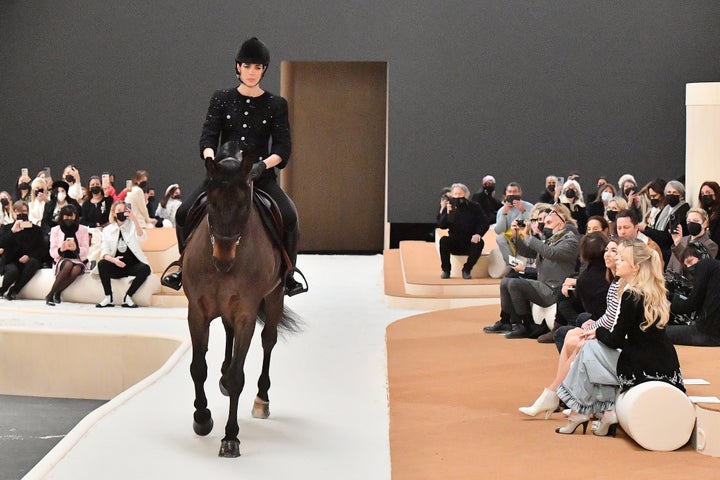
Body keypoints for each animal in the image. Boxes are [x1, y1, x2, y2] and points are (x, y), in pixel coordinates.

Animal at [184, 145, 302, 458]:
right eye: (210, 204)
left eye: (244, 205)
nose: (223, 259)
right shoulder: (196, 311)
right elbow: (198, 368)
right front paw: (202, 419)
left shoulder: (246, 312)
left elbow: (239, 375)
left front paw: (230, 438)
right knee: (227, 332)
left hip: (274, 297)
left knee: (268, 341)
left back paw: (262, 400)